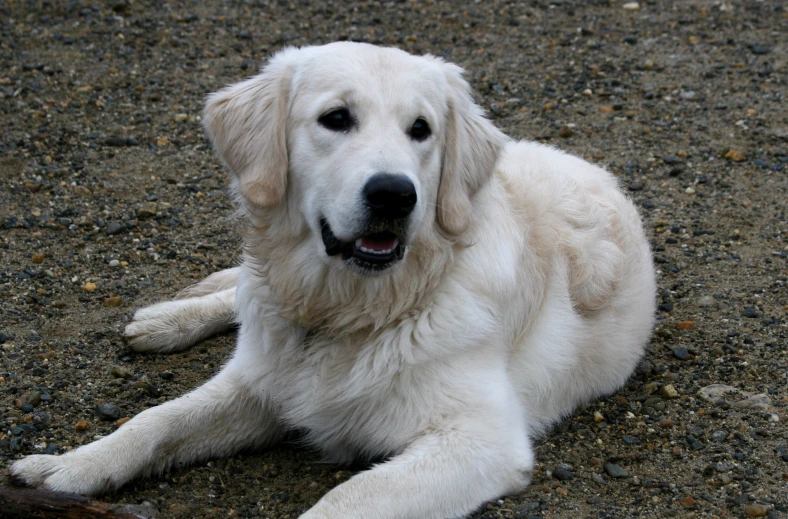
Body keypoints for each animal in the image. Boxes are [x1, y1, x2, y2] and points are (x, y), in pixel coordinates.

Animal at [10, 41, 652, 519]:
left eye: (421, 129)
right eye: (336, 118)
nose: (394, 194)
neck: (343, 313)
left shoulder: (480, 439)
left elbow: (347, 499)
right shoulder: (263, 380)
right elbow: (156, 421)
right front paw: (68, 468)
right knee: (238, 290)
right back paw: (168, 319)